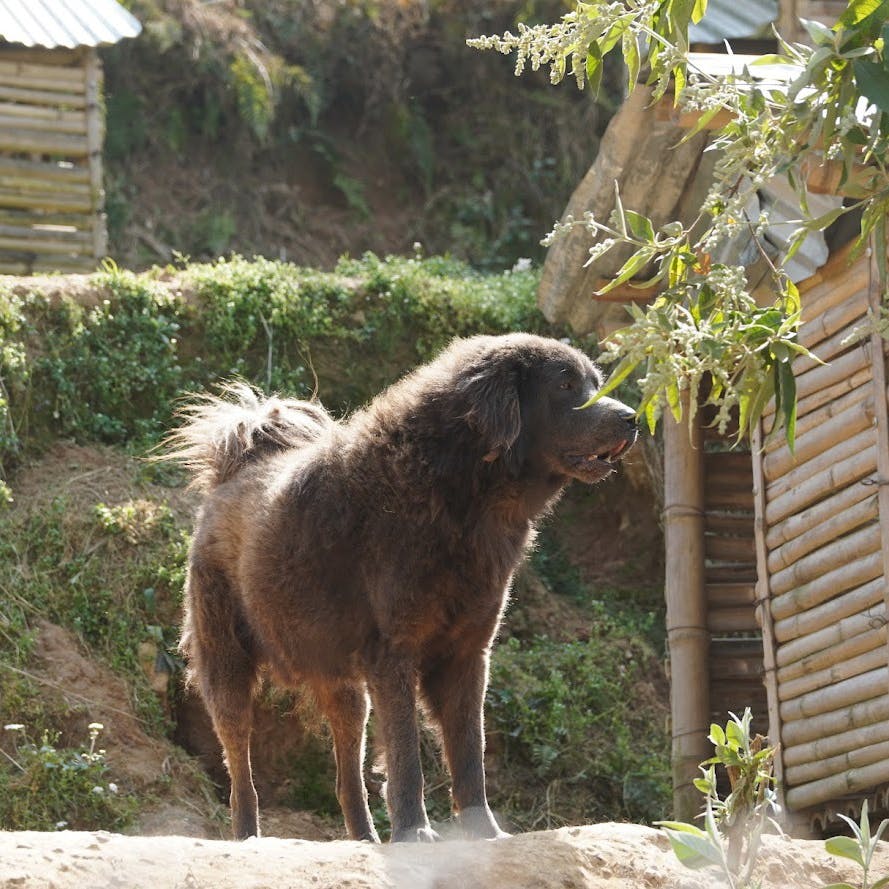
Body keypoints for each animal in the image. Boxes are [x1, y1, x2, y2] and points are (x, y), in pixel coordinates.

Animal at [168, 332, 640, 840]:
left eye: (595, 381)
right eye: (566, 384)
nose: (633, 418)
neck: (463, 495)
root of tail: (233, 472)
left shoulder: (466, 655)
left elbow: (469, 754)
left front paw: (484, 832)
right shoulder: (394, 655)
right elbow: (407, 756)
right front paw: (414, 832)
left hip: (344, 691)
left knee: (347, 777)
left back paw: (365, 838)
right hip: (228, 669)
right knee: (241, 770)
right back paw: (250, 836)